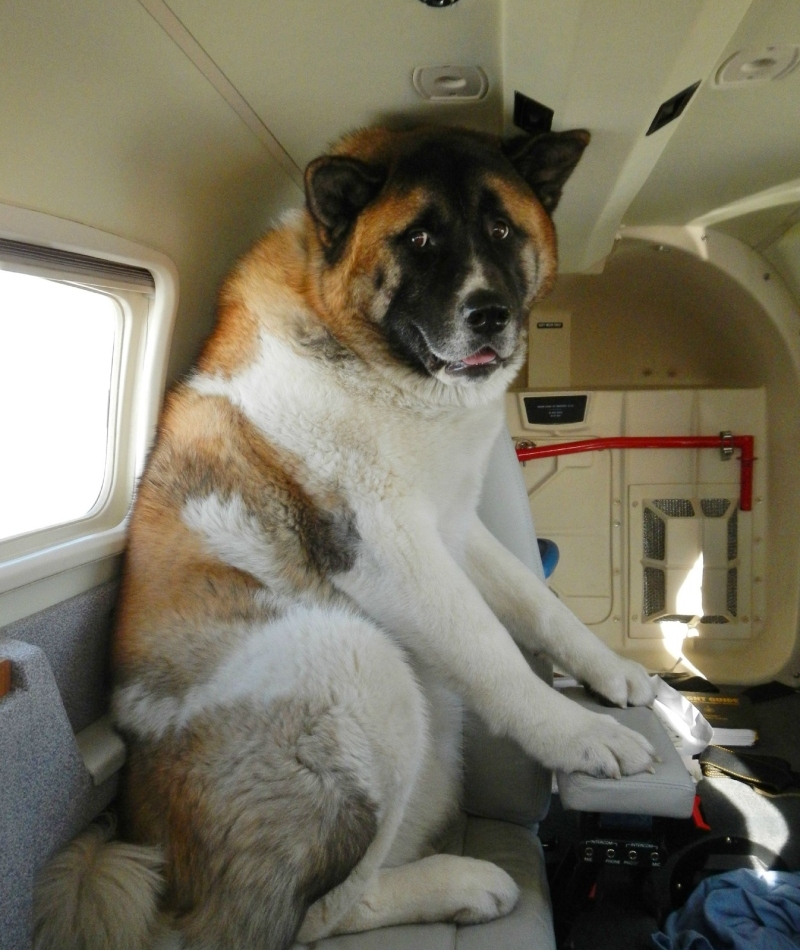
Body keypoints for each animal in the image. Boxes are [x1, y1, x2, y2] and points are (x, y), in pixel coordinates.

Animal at [32, 126, 656, 950]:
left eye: (500, 229)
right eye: (420, 238)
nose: (489, 313)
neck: (372, 362)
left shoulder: (455, 527)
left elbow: (538, 606)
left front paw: (612, 675)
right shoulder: (389, 547)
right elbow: (491, 649)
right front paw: (580, 735)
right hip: (356, 656)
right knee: (321, 912)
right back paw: (466, 884)